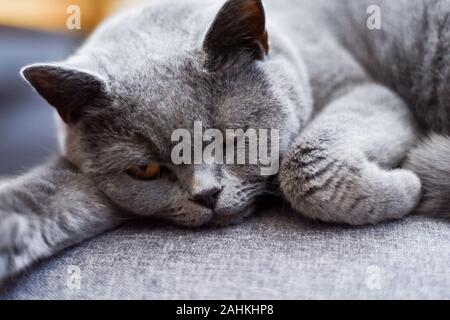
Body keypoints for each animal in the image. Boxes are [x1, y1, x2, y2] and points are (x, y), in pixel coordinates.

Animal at [0, 0, 450, 280]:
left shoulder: (364, 90)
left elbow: (306, 160)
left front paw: (406, 187)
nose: (207, 195)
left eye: (232, 138)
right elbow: (39, 200)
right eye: (145, 169)